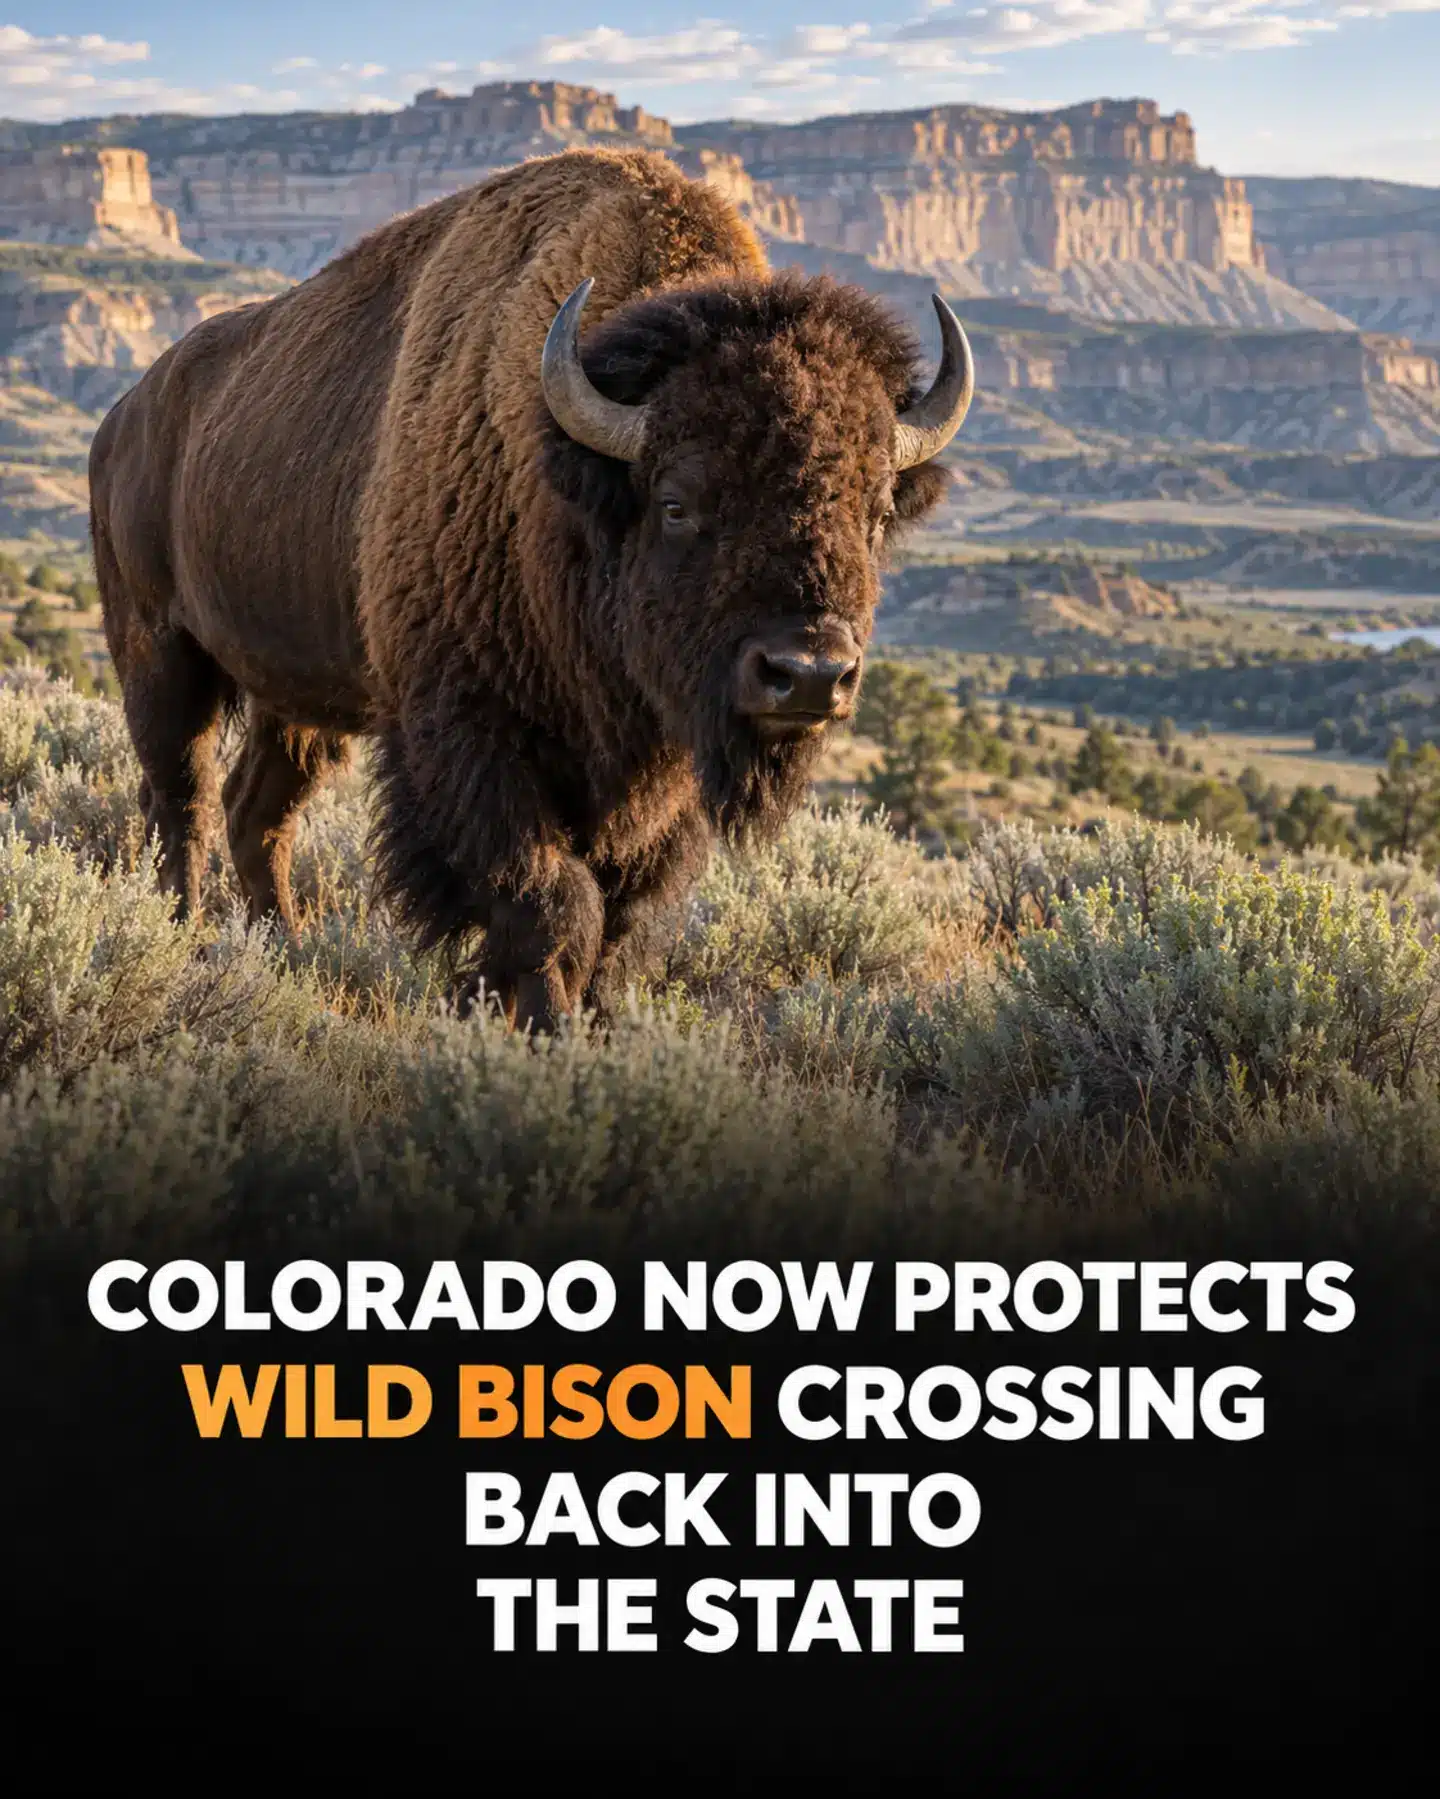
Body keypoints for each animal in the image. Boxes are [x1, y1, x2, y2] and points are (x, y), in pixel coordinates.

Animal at [89, 146, 974, 1030]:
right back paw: (182, 937)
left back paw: (287, 948)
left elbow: (619, 914)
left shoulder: (661, 774)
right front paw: (542, 1025)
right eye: (677, 502)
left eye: (875, 512)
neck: (567, 479)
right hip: (160, 654)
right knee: (183, 802)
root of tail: (123, 414)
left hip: (299, 697)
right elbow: (551, 900)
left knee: (257, 812)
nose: (809, 674)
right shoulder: (471, 733)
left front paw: (583, 1020)